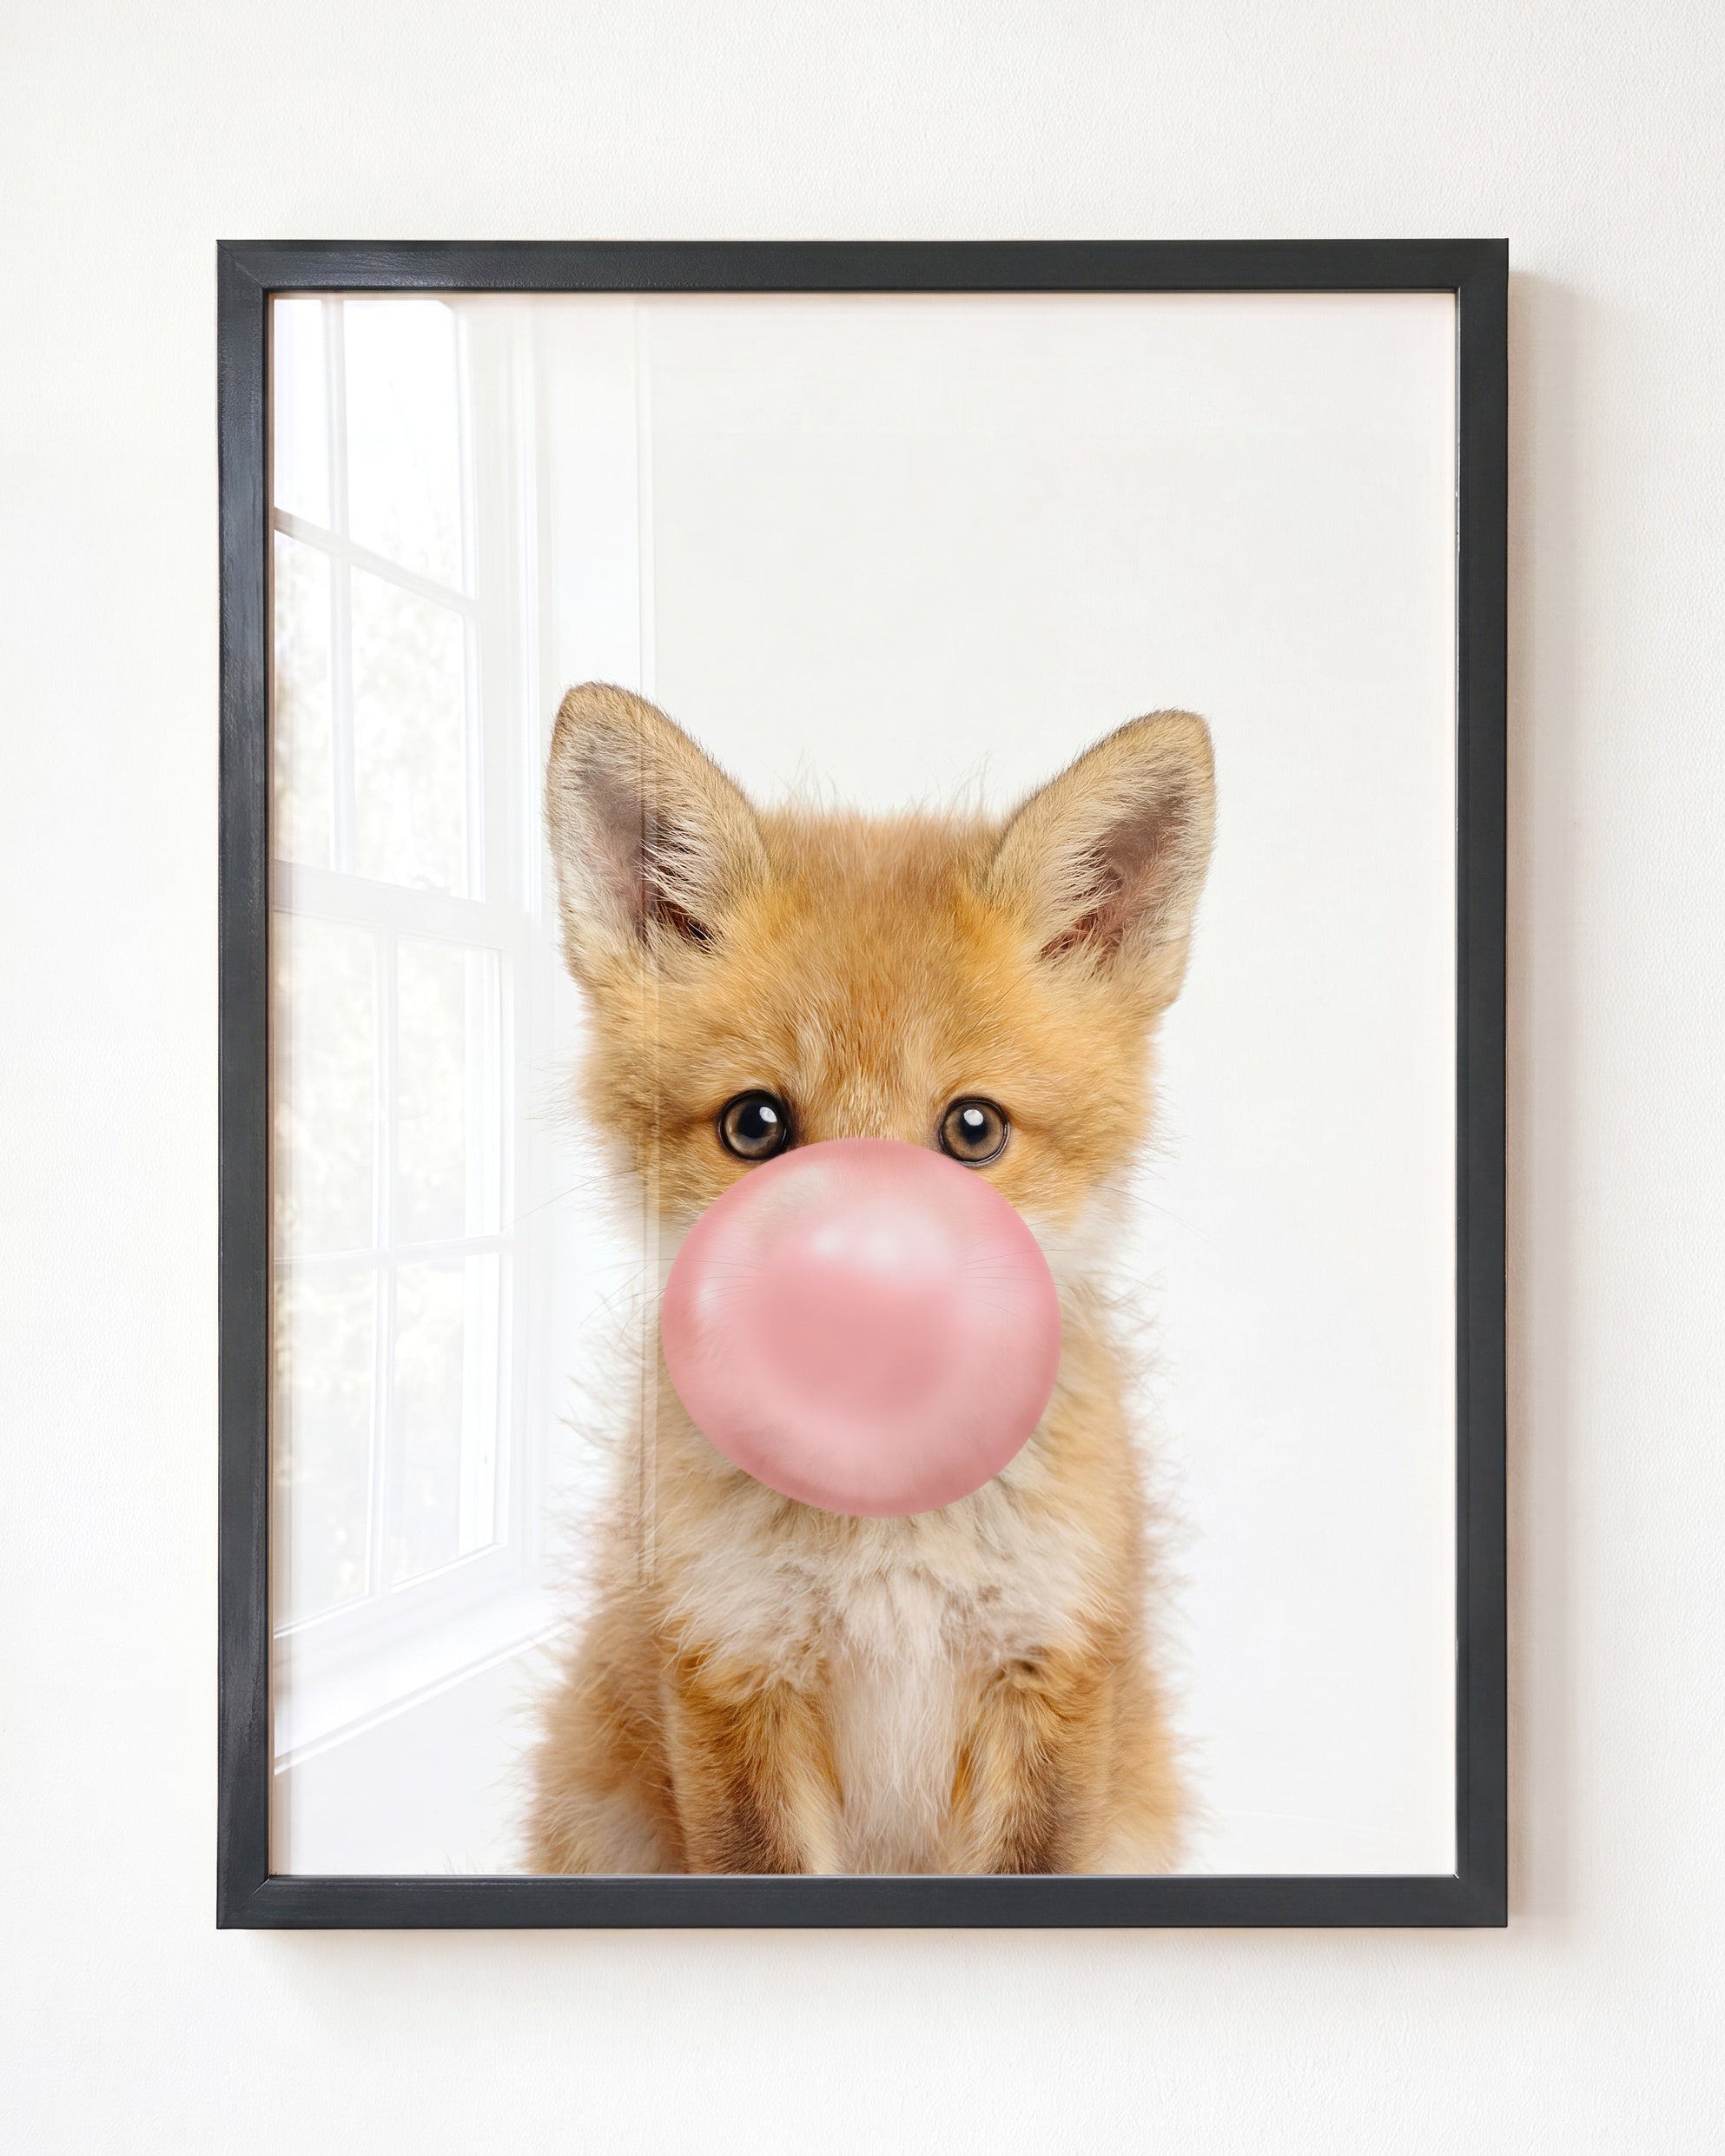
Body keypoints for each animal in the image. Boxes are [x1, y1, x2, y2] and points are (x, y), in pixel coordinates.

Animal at [524, 682, 1215, 1875]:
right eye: (756, 1125)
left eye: (974, 1130)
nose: (858, 1298)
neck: (887, 1539)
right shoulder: (730, 1669)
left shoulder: (1050, 1674)